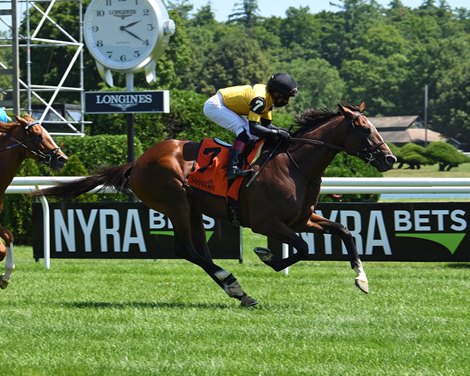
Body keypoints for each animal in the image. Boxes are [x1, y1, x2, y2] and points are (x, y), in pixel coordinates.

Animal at [33, 102, 394, 306]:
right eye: (364, 129)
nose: (389, 158)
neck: (295, 164)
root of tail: (138, 162)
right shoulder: (266, 222)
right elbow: (301, 248)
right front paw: (267, 256)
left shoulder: (302, 219)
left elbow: (344, 231)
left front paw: (362, 279)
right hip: (175, 202)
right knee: (187, 250)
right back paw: (234, 284)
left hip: (193, 210)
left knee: (200, 252)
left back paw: (237, 290)